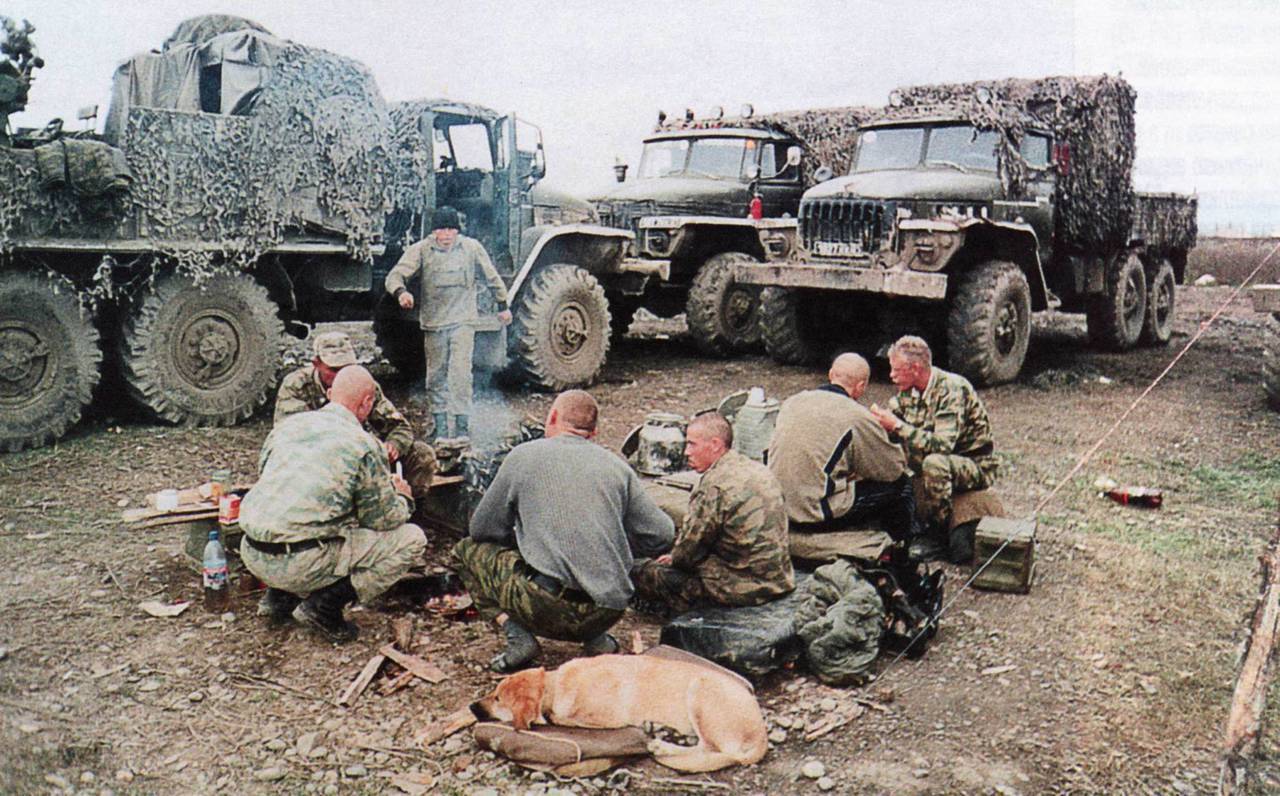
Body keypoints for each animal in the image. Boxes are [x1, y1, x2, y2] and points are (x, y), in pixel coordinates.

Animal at [473, 655, 762, 772]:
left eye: (498, 698)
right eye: (494, 692)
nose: (472, 707)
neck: (554, 686)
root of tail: (762, 735)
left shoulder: (605, 718)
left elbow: (558, 716)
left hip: (700, 691)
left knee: (711, 749)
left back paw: (663, 744)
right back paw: (667, 733)